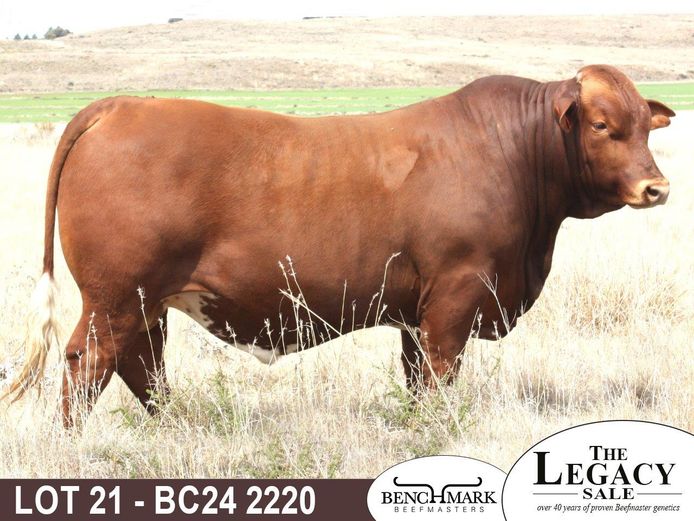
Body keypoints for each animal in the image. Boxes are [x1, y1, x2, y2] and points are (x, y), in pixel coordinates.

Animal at [4, 65, 674, 426]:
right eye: (602, 125)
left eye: (646, 123)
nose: (657, 187)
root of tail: (120, 106)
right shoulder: (455, 296)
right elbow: (440, 379)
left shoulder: (415, 312)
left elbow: (416, 379)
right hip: (117, 295)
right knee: (89, 363)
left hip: (145, 301)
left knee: (142, 366)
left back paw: (183, 425)